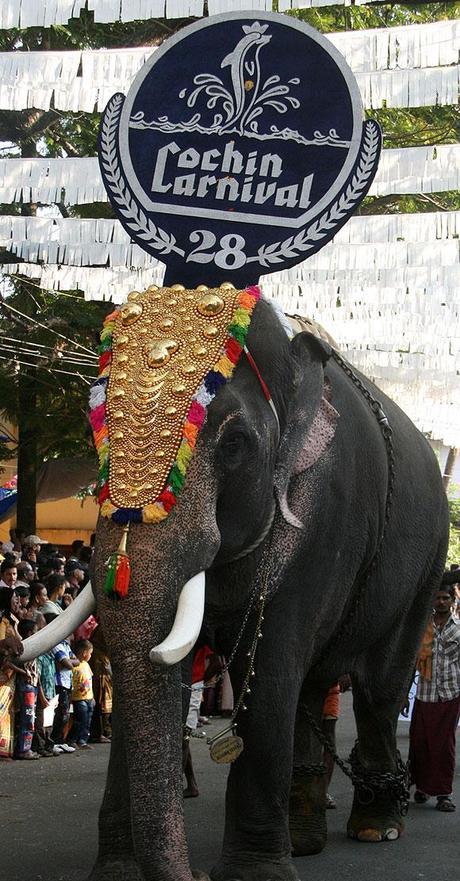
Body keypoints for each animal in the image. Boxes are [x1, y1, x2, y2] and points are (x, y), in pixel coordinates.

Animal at [22, 290, 450, 880]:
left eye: (236, 443)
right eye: (95, 431)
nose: (197, 876)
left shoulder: (320, 521)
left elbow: (267, 669)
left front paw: (253, 876)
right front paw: (117, 874)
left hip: (427, 564)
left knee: (379, 686)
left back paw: (377, 827)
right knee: (312, 687)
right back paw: (306, 839)